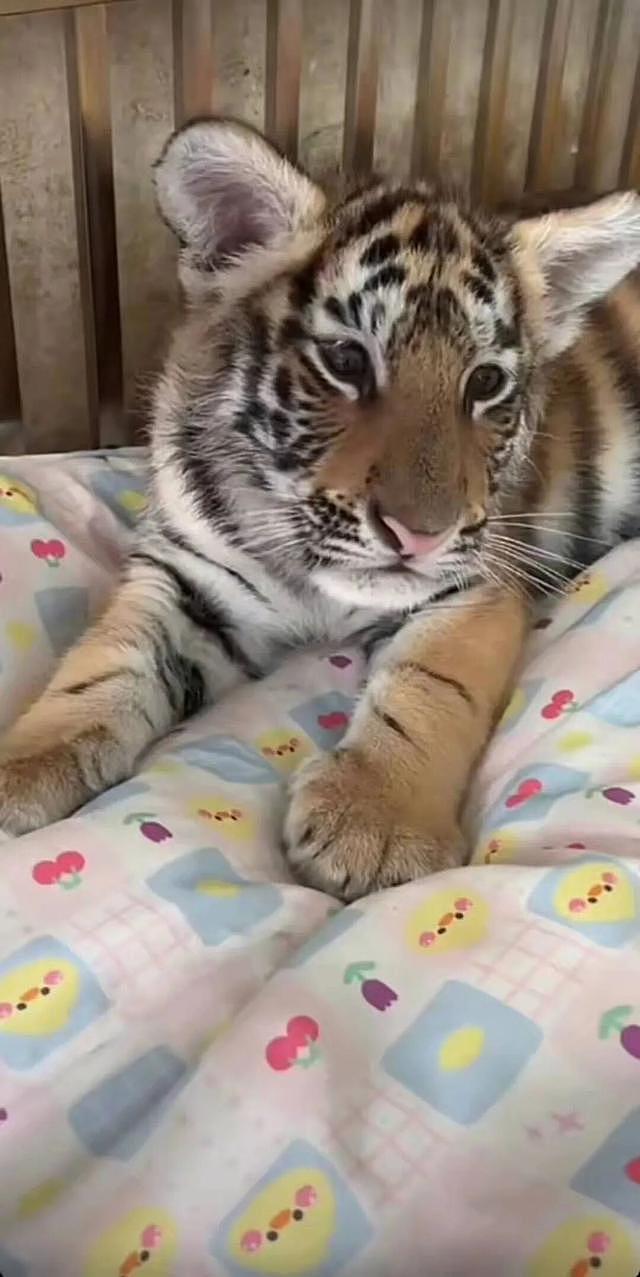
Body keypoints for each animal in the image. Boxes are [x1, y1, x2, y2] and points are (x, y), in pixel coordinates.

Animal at [1, 116, 640, 901]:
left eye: (486, 382)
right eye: (345, 360)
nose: (420, 537)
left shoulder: (475, 585)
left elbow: (431, 686)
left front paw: (377, 822)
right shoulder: (187, 572)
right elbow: (104, 662)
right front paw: (23, 767)